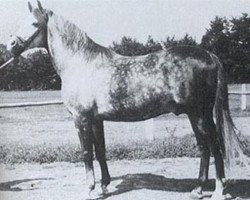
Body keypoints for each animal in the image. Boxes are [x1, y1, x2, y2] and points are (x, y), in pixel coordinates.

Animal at [6, 0, 248, 199]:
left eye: (34, 23)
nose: (10, 46)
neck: (81, 64)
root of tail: (209, 55)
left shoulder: (82, 119)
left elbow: (86, 153)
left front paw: (89, 190)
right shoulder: (97, 120)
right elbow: (100, 151)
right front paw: (104, 187)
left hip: (200, 114)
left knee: (215, 146)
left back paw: (218, 191)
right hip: (194, 115)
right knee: (204, 147)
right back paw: (197, 190)